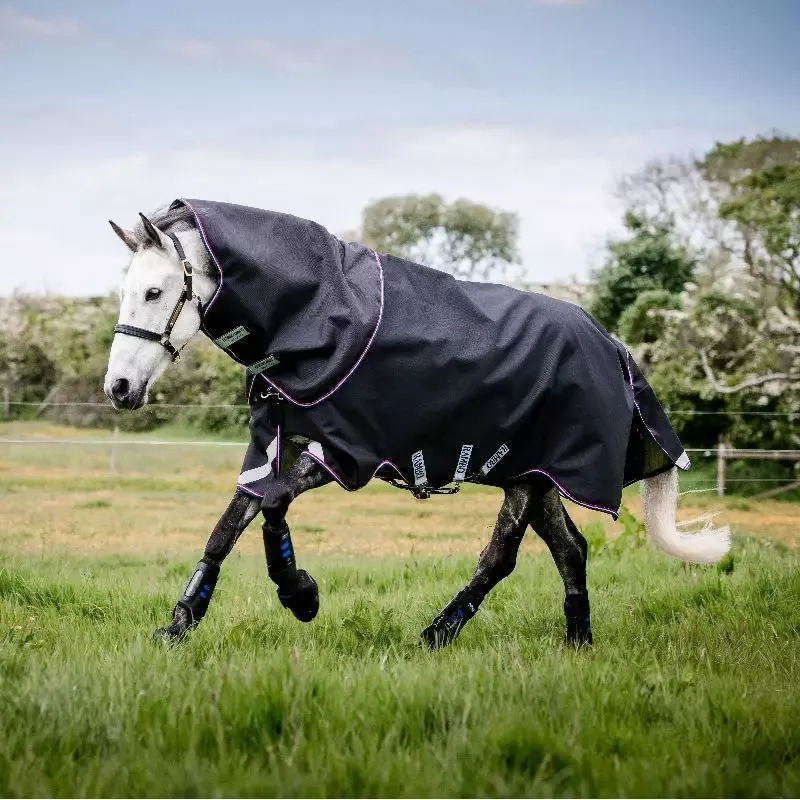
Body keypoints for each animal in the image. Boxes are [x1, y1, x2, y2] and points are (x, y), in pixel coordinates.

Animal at [104, 200, 730, 648]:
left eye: (154, 291)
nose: (119, 388)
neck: (321, 319)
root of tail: (613, 345)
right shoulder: (273, 442)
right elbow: (230, 523)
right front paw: (180, 623)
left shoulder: (345, 452)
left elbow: (274, 505)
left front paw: (299, 594)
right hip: (533, 472)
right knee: (570, 549)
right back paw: (577, 642)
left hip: (528, 477)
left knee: (501, 557)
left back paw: (438, 632)